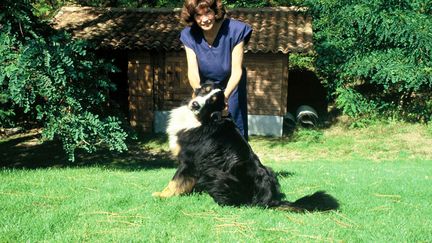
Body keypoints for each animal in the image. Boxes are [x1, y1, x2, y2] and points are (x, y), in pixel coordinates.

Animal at [154, 81, 340, 211]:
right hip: (269, 170)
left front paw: (161, 195)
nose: (195, 105)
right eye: (204, 91)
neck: (203, 119)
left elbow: (174, 181)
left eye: (212, 101)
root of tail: (271, 199)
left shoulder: (189, 162)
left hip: (217, 175)